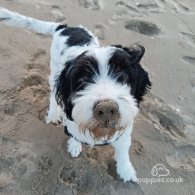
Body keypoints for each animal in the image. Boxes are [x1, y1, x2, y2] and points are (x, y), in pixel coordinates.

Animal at [0, 8, 152, 183]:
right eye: (82, 79)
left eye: (123, 75)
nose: (107, 109)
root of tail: (64, 27)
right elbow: (74, 134)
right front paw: (74, 145)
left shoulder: (125, 129)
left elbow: (123, 150)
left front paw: (126, 171)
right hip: (54, 69)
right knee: (52, 94)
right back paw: (53, 114)